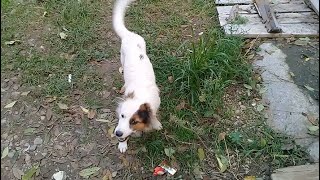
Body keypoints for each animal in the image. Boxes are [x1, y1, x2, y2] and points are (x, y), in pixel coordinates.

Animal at [112, 0, 162, 153]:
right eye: (122, 115)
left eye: (134, 121)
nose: (117, 133)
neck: (140, 96)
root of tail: (130, 35)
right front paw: (122, 144)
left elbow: (154, 116)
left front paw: (156, 123)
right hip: (122, 57)